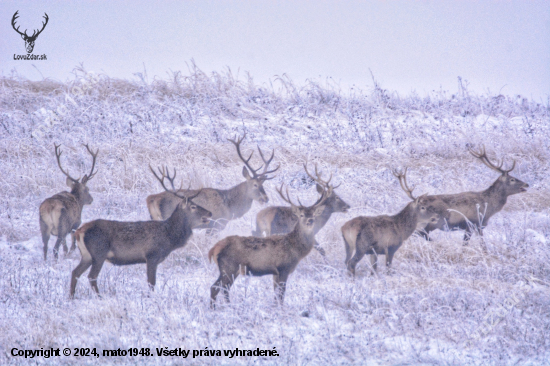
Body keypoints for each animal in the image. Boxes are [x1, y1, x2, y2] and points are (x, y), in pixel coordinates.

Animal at [70, 167, 212, 298]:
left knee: (75, 272)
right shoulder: (152, 255)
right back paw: (100, 297)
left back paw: (71, 297)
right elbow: (151, 283)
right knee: (91, 276)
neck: (169, 237)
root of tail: (79, 231)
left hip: (87, 255)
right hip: (99, 252)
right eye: (193, 206)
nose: (209, 213)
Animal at [147, 133, 280, 233]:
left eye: (263, 184)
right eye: (255, 185)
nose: (265, 198)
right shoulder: (216, 224)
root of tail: (152, 199)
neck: (230, 207)